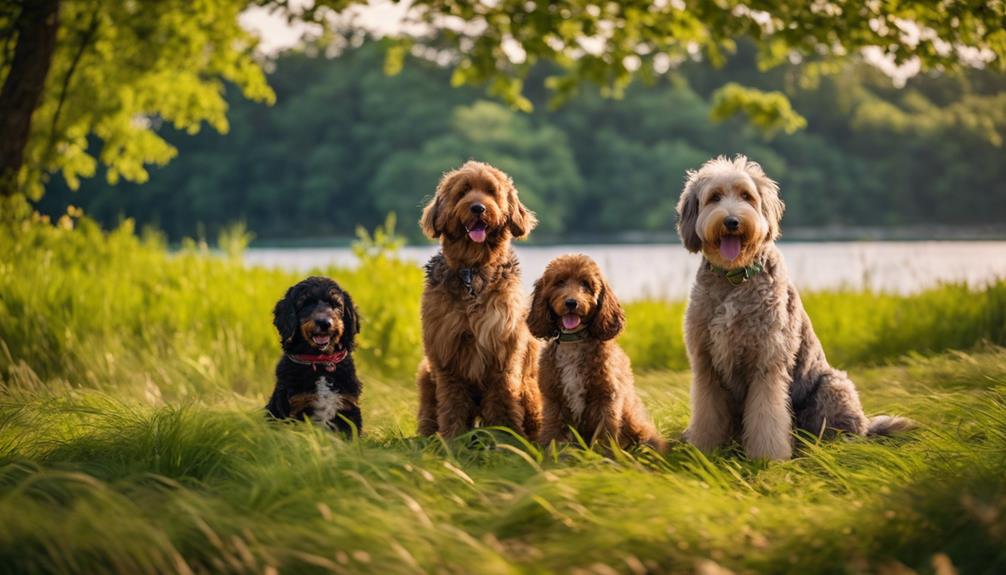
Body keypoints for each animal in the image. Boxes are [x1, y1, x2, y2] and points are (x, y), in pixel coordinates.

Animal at [267, 275, 362, 434]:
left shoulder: (348, 408)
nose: (324, 323)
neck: (321, 363)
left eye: (336, 305)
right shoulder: (297, 407)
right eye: (306, 303)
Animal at [414, 161, 547, 440]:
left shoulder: (501, 355)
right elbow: (452, 406)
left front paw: (506, 439)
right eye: (463, 192)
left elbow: (503, 403)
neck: (472, 271)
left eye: (491, 191)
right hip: (425, 375)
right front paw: (453, 441)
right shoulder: (447, 358)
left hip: (530, 389)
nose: (478, 208)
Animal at [527, 255, 659, 448]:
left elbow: (605, 435)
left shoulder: (605, 399)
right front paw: (551, 453)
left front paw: (605, 454)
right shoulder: (554, 400)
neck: (574, 341)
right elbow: (553, 432)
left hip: (636, 423)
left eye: (586, 284)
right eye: (559, 282)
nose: (571, 303)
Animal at [676, 154, 913, 460]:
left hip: (833, 385)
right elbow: (707, 415)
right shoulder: (706, 365)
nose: (732, 221)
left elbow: (767, 417)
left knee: (844, 431)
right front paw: (705, 452)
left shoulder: (766, 363)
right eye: (714, 197)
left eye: (746, 196)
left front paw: (767, 458)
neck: (735, 278)